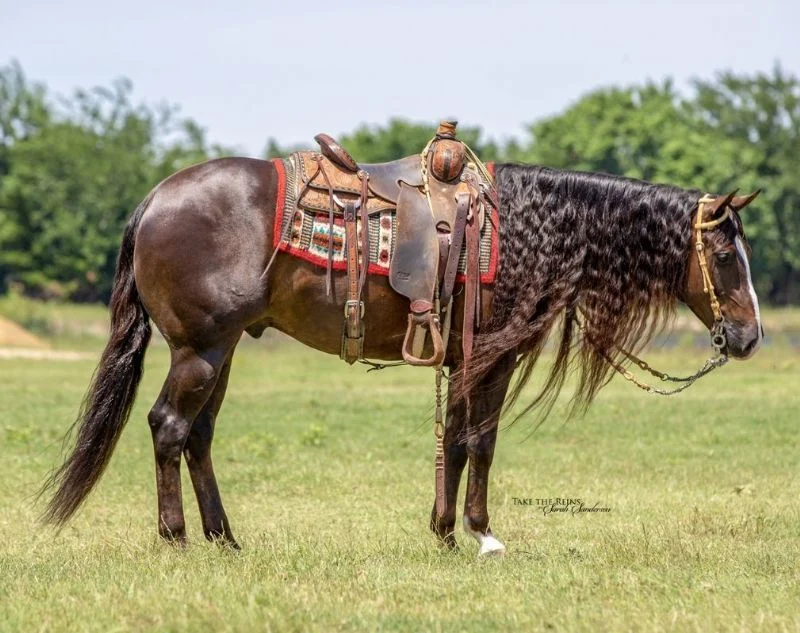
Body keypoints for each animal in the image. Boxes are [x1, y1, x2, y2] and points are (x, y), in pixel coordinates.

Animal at [40, 157, 762, 556]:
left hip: (221, 350)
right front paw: (480, 533)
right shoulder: (490, 357)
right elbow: (480, 440)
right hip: (199, 348)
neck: (523, 228)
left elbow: (457, 439)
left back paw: (225, 538)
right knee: (168, 427)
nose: (750, 336)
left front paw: (444, 530)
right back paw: (177, 537)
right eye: (727, 254)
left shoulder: (466, 359)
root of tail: (154, 199)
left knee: (198, 435)